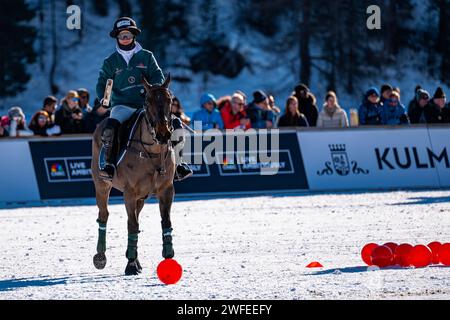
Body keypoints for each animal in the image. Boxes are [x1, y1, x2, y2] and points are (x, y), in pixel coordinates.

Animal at [91, 74, 176, 276]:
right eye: (147, 101)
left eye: (170, 99)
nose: (163, 133)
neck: (152, 152)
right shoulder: (129, 193)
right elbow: (132, 225)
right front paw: (130, 265)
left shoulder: (166, 190)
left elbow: (165, 221)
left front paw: (168, 255)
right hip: (101, 185)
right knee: (104, 215)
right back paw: (100, 258)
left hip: (142, 197)